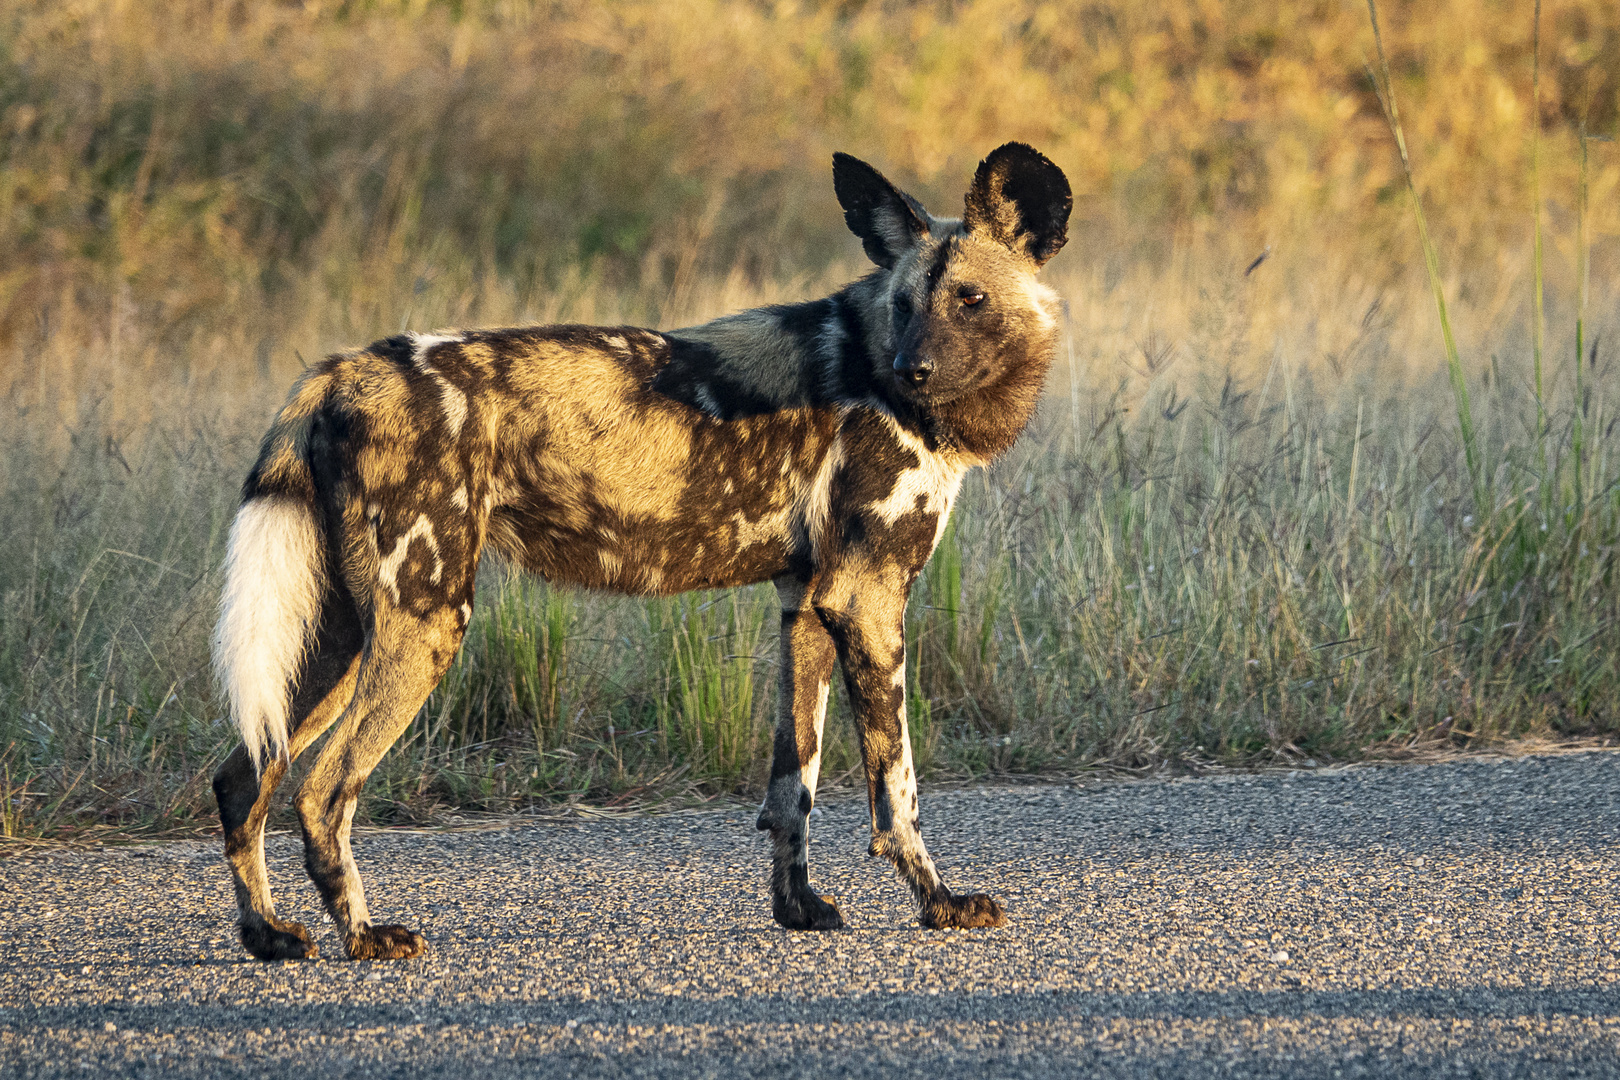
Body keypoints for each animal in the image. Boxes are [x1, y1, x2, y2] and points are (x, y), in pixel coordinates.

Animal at [218, 139, 1075, 958]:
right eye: (903, 304)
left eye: (969, 299)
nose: (910, 369)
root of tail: (340, 372)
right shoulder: (868, 599)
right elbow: (897, 788)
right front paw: (941, 903)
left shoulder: (807, 603)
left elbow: (792, 782)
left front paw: (798, 908)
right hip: (425, 624)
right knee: (323, 789)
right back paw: (365, 936)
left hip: (344, 636)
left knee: (242, 778)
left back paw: (270, 934)